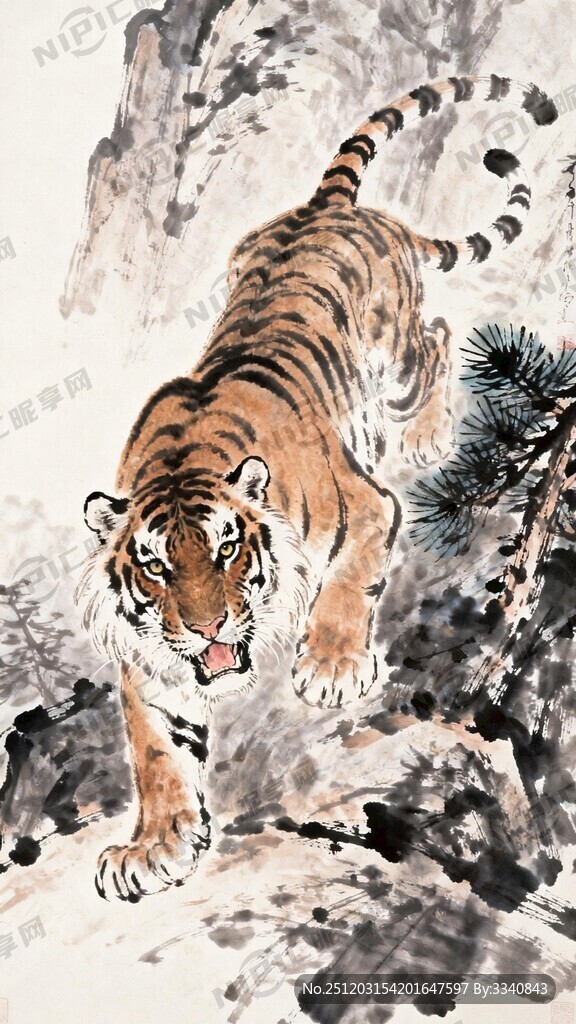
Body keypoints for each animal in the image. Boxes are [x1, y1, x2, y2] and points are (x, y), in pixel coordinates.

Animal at [77, 74, 557, 900]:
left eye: (227, 550)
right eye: (158, 568)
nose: (208, 627)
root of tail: (328, 206)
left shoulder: (368, 508)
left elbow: (348, 585)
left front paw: (331, 667)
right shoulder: (152, 658)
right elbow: (156, 748)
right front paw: (155, 845)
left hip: (397, 357)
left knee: (436, 338)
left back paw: (427, 434)